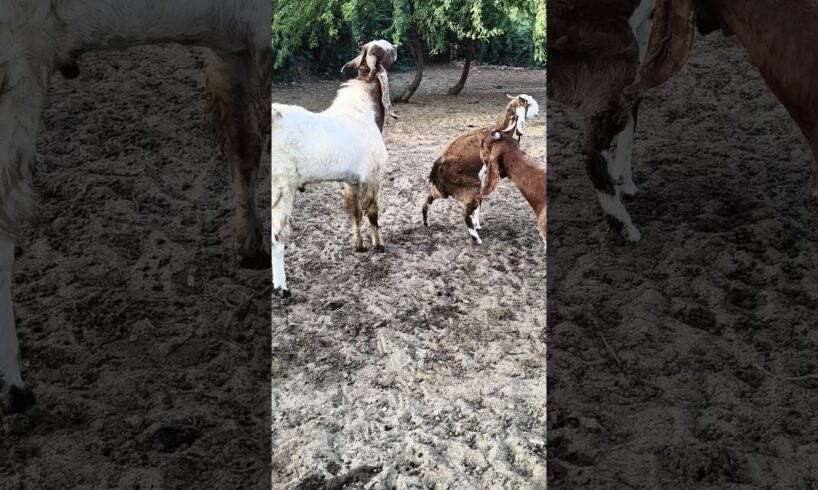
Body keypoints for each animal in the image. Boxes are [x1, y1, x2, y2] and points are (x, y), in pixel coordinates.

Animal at [270, 40, 398, 298]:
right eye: (386, 50)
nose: (397, 49)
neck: (364, 111)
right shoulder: (372, 176)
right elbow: (372, 212)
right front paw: (379, 246)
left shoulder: (351, 181)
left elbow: (355, 212)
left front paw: (359, 247)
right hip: (281, 188)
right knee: (276, 237)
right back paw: (282, 289)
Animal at [421, 94, 539, 244]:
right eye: (528, 103)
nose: (537, 113)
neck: (498, 130)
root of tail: (437, 166)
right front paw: (476, 224)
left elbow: (480, 200)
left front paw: (477, 223)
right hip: (469, 184)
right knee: (465, 211)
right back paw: (475, 238)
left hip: (444, 189)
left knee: (430, 198)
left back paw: (426, 222)